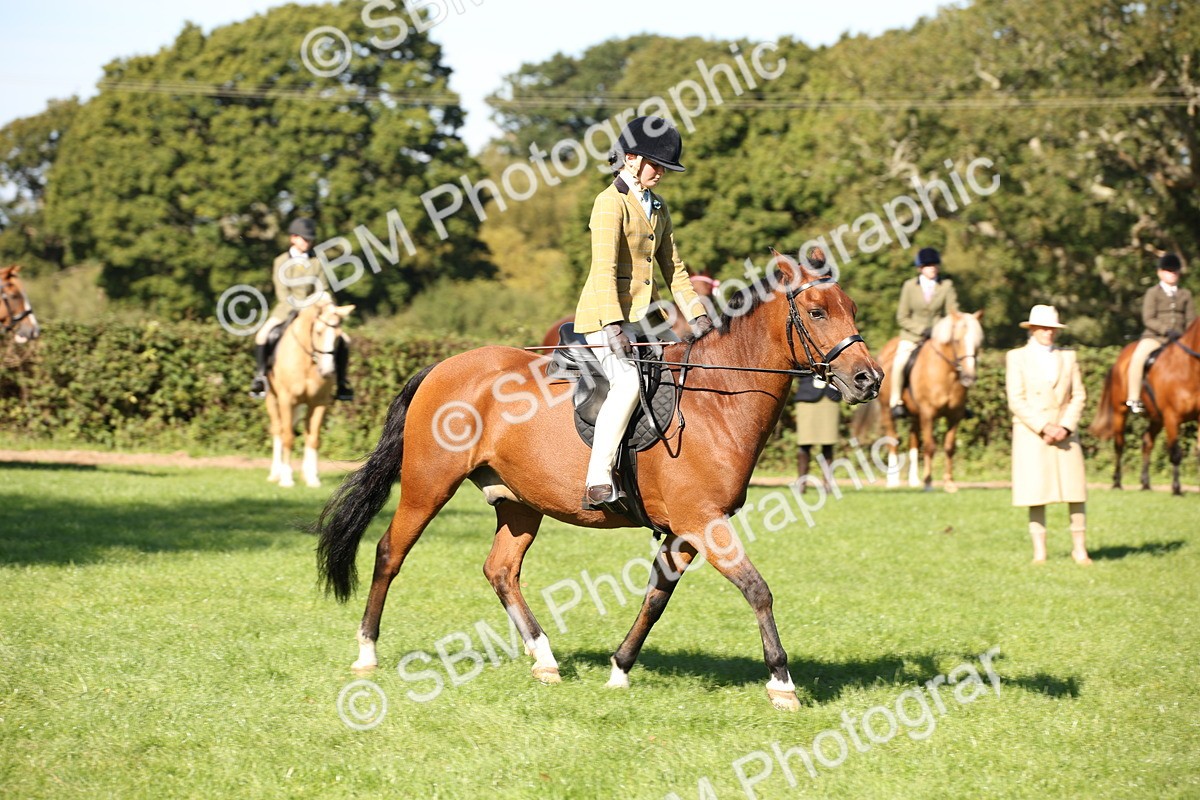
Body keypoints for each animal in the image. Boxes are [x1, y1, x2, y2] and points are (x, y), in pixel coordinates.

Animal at [264, 294, 355, 488]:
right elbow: (288, 437)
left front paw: (313, 478)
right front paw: (286, 478)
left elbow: (313, 438)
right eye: (318, 332)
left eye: (338, 337)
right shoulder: (286, 400)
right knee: (278, 430)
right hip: (272, 398)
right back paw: (276, 473)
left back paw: (307, 474)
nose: (327, 372)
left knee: (305, 433)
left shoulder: (319, 403)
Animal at [852, 310, 984, 492]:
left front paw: (949, 483)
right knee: (893, 440)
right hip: (887, 411)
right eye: (957, 340)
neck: (947, 375)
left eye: (978, 342)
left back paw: (914, 480)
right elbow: (930, 447)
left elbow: (949, 448)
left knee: (913, 442)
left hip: (915, 415)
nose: (969, 377)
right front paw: (928, 482)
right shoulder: (928, 414)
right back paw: (893, 481)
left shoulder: (954, 416)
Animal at [1089, 317, 1200, 495]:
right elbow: (1175, 452)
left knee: (1147, 441)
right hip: (1121, 411)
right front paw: (1176, 489)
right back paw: (1117, 482)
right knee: (1119, 445)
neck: (1190, 369)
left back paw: (1145, 484)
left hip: (1156, 418)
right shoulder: (1171, 417)